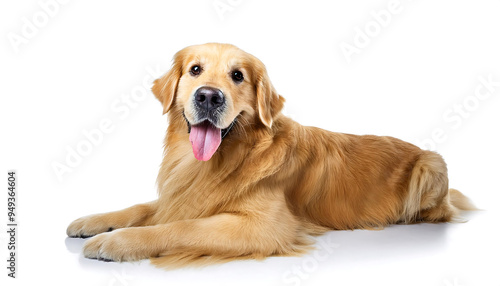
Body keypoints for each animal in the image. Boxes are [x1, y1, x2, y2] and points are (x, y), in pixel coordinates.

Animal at [65, 43, 472, 268]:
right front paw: (93, 221)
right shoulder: (183, 194)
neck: (226, 158)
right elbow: (141, 208)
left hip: (431, 165)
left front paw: (116, 242)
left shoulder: (264, 227)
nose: (209, 96)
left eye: (238, 76)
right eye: (195, 69)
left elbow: (182, 227)